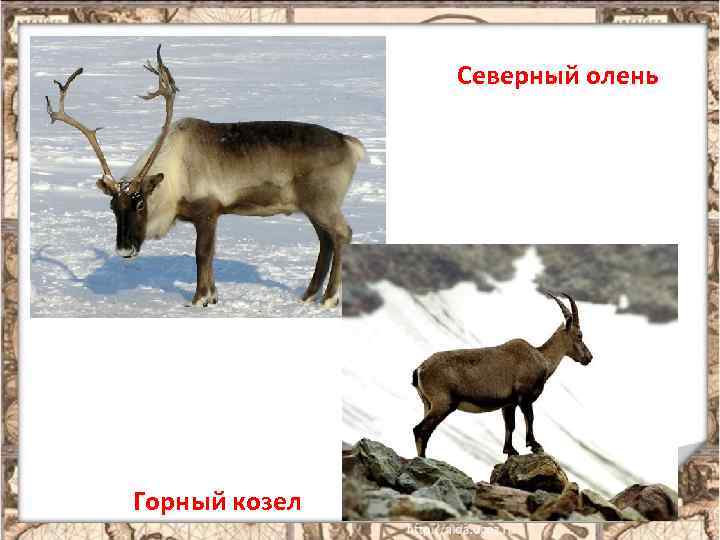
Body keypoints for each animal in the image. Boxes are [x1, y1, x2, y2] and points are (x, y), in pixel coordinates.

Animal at [45, 44, 365, 308]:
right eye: (112, 207)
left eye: (140, 202)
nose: (124, 250)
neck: (173, 179)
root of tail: (349, 143)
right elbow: (208, 255)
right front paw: (212, 296)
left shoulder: (209, 211)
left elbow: (203, 253)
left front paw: (200, 298)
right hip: (312, 207)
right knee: (325, 241)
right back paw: (308, 295)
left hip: (323, 203)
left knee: (342, 234)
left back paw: (330, 298)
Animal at [411, 290, 593, 459]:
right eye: (579, 335)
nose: (589, 357)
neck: (541, 358)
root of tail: (419, 369)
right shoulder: (524, 397)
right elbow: (530, 418)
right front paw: (534, 445)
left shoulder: (508, 403)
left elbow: (510, 425)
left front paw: (510, 450)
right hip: (442, 403)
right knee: (420, 430)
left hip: (427, 403)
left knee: (424, 431)